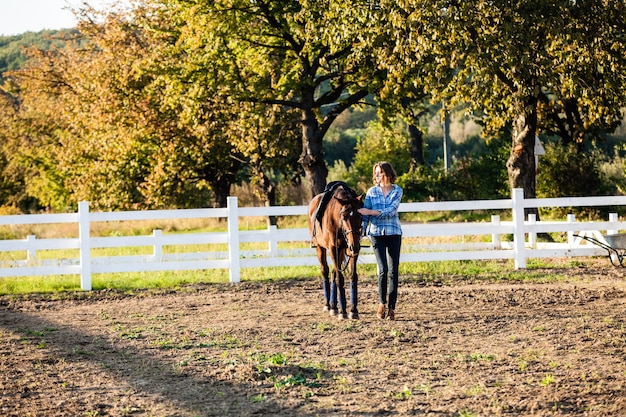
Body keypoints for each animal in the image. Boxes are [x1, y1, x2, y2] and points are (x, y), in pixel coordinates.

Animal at [306, 180, 360, 320]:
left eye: (360, 215)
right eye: (344, 217)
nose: (355, 246)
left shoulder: (351, 250)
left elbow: (352, 276)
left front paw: (353, 310)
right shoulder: (333, 248)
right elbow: (339, 279)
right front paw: (343, 312)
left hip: (341, 252)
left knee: (334, 273)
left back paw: (334, 306)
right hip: (321, 248)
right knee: (325, 271)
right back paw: (328, 305)